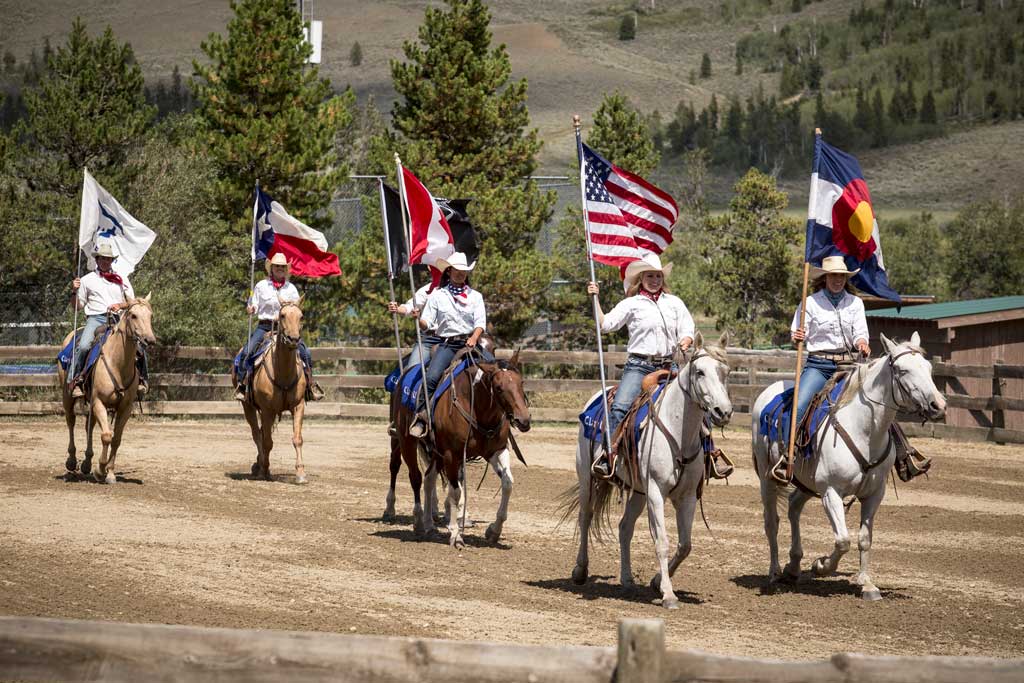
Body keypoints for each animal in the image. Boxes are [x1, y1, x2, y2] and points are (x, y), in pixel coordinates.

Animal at [57, 296, 154, 483]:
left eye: (150, 315)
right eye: (133, 315)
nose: (149, 340)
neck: (118, 363)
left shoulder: (125, 408)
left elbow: (116, 439)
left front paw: (110, 473)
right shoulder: (99, 402)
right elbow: (106, 436)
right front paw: (100, 470)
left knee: (89, 426)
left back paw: (87, 463)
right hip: (67, 396)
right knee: (71, 421)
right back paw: (72, 461)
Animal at [235, 301, 307, 483]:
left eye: (301, 316)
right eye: (282, 315)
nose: (293, 339)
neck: (283, 372)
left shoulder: (298, 405)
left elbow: (297, 439)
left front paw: (301, 473)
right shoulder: (267, 410)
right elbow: (267, 442)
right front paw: (264, 470)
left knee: (261, 433)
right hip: (248, 407)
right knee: (257, 434)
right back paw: (260, 466)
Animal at [391, 350, 532, 548]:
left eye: (521, 382)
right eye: (498, 387)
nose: (523, 420)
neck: (476, 407)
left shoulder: (497, 451)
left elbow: (507, 483)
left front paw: (494, 531)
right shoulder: (452, 455)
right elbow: (456, 492)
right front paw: (456, 534)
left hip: (436, 453)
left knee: (428, 479)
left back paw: (429, 525)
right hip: (406, 442)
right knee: (415, 478)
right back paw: (418, 522)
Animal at [565, 333, 733, 610]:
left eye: (725, 372)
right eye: (699, 372)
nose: (723, 412)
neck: (679, 432)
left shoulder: (687, 496)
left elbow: (685, 545)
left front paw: (656, 582)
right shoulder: (656, 491)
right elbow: (662, 542)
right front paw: (668, 595)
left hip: (638, 492)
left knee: (624, 528)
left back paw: (627, 579)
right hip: (587, 476)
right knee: (585, 517)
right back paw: (580, 570)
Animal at [749, 333, 946, 602]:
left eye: (928, 368)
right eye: (903, 370)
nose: (939, 405)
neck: (864, 429)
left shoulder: (874, 494)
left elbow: (864, 539)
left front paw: (867, 584)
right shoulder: (831, 493)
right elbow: (843, 540)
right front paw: (821, 565)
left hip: (807, 483)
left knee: (793, 507)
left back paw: (793, 566)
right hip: (767, 478)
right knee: (772, 522)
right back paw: (774, 573)